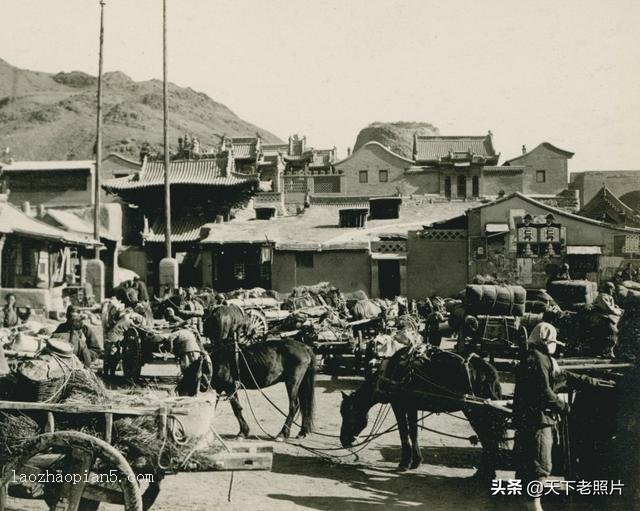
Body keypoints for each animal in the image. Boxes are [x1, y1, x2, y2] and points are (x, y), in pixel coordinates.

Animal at [340, 348, 510, 480]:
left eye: (347, 413)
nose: (343, 440)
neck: (392, 372)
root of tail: (487, 370)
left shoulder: (399, 406)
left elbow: (404, 432)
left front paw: (404, 463)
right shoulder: (412, 407)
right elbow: (413, 432)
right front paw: (416, 461)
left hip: (476, 414)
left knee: (489, 441)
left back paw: (484, 473)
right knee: (490, 441)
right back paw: (486, 473)